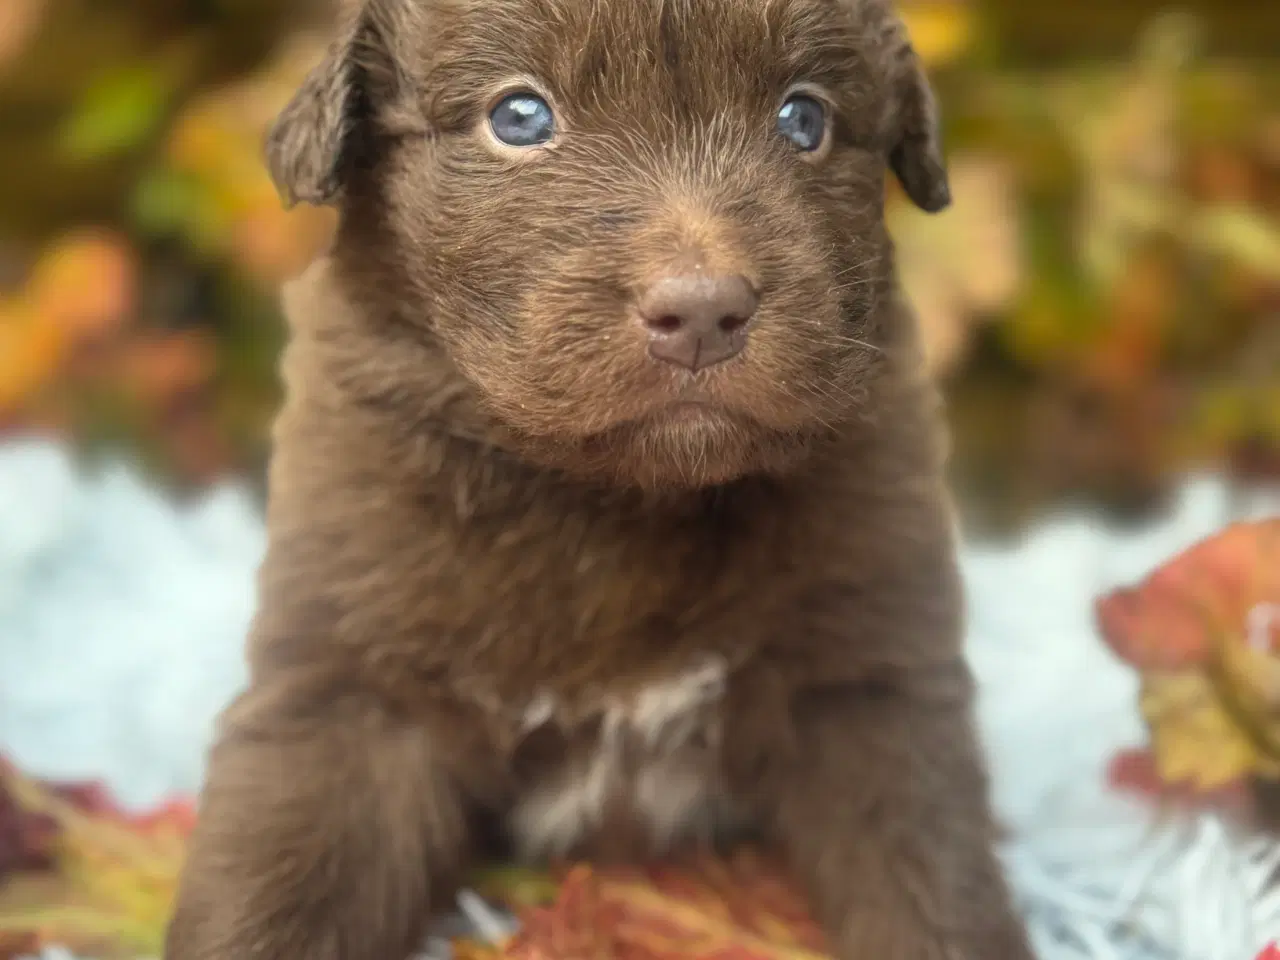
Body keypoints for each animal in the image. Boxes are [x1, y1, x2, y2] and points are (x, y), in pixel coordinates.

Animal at [165, 0, 1034, 957]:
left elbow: (929, 883)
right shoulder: (356, 688)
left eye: (803, 118)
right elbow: (282, 884)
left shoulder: (869, 675)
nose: (702, 310)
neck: (622, 501)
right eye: (518, 117)